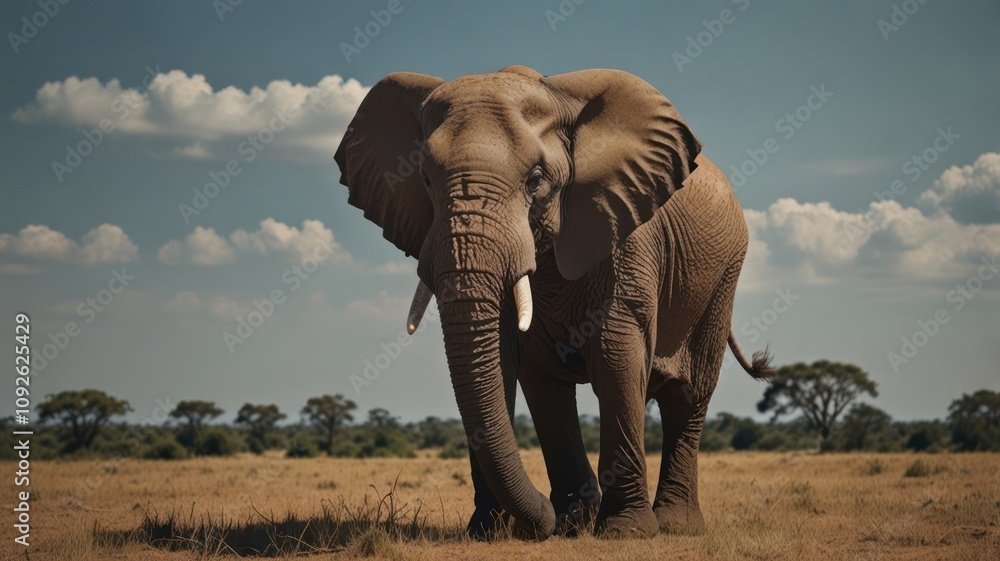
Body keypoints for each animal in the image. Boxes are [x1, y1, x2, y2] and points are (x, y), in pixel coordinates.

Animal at [335, 65, 773, 540]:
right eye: (426, 179)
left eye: (535, 179)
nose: (538, 522)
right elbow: (510, 364)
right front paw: (500, 530)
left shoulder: (625, 235)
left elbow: (616, 357)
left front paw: (625, 531)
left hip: (723, 276)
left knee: (688, 393)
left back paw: (676, 524)